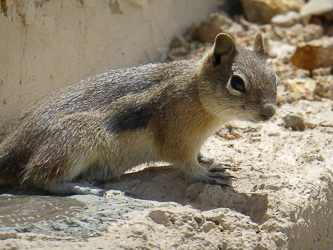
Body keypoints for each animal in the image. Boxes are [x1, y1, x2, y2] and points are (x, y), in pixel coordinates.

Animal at [0, 32, 276, 195]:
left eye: (273, 76)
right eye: (237, 83)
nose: (270, 112)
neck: (196, 92)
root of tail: (11, 149)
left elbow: (199, 154)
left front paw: (208, 159)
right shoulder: (176, 138)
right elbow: (186, 163)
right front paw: (204, 174)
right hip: (80, 135)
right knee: (38, 176)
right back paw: (80, 187)